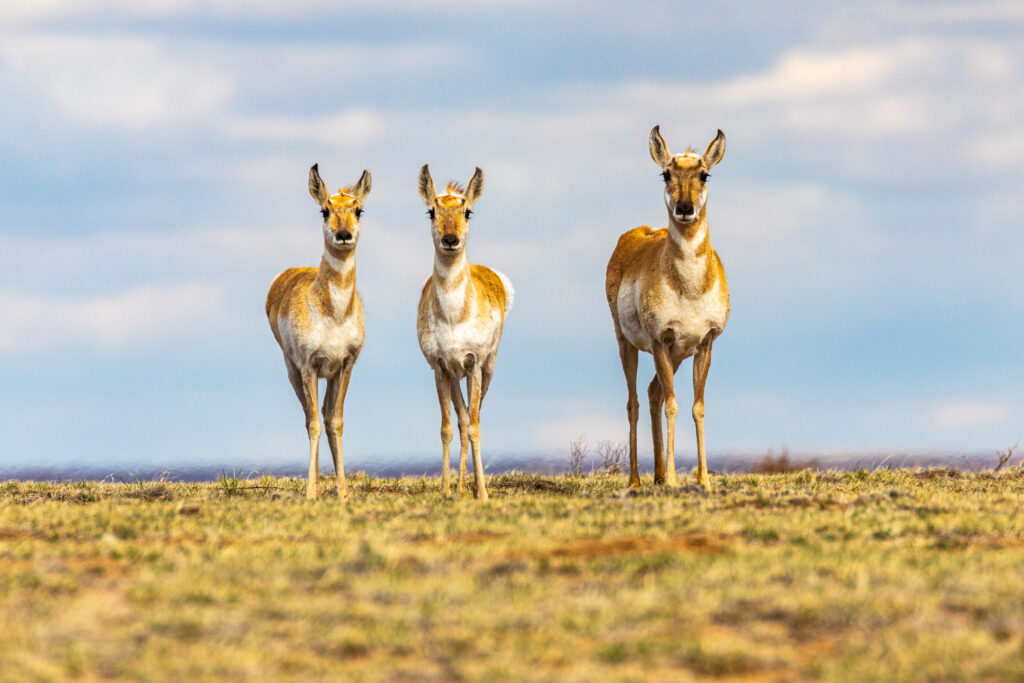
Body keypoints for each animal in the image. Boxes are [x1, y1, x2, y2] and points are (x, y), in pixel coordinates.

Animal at [264, 162, 372, 499]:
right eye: (325, 210)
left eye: (359, 209)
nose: (343, 234)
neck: (333, 314)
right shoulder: (309, 367)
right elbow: (312, 423)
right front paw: (311, 491)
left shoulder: (345, 365)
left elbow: (335, 421)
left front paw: (343, 492)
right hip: (293, 372)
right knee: (310, 417)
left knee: (325, 414)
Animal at [415, 162, 512, 499]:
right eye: (431, 211)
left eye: (467, 210)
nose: (450, 239)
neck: (454, 318)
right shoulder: (440, 368)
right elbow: (448, 426)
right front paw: (447, 489)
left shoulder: (474, 365)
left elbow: (474, 426)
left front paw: (481, 492)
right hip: (456, 376)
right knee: (461, 418)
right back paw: (458, 487)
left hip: (488, 369)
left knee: (473, 416)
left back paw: (469, 488)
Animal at [606, 127, 729, 489]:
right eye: (666, 174)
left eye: (704, 174)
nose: (685, 208)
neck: (688, 288)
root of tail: (638, 234)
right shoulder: (661, 341)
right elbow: (673, 405)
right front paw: (676, 479)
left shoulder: (703, 345)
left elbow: (697, 406)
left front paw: (703, 480)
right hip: (628, 344)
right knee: (634, 401)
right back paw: (637, 480)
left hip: (677, 355)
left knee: (652, 392)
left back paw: (659, 475)